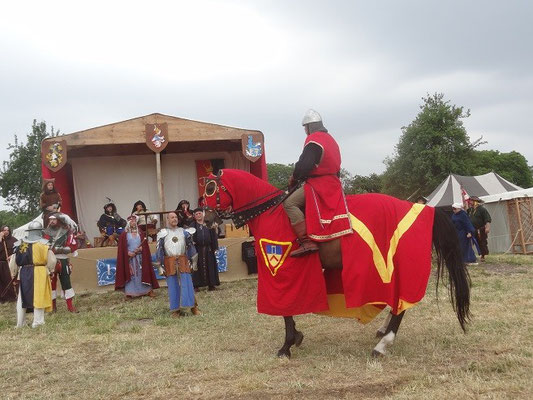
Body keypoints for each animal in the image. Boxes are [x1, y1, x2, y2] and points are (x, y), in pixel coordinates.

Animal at [202, 170, 468, 358]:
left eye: (210, 188)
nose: (206, 219)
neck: (271, 212)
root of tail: (422, 208)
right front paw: (296, 338)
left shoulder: (282, 273)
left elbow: (286, 309)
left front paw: (287, 345)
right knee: (397, 303)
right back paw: (383, 332)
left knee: (400, 307)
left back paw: (382, 345)